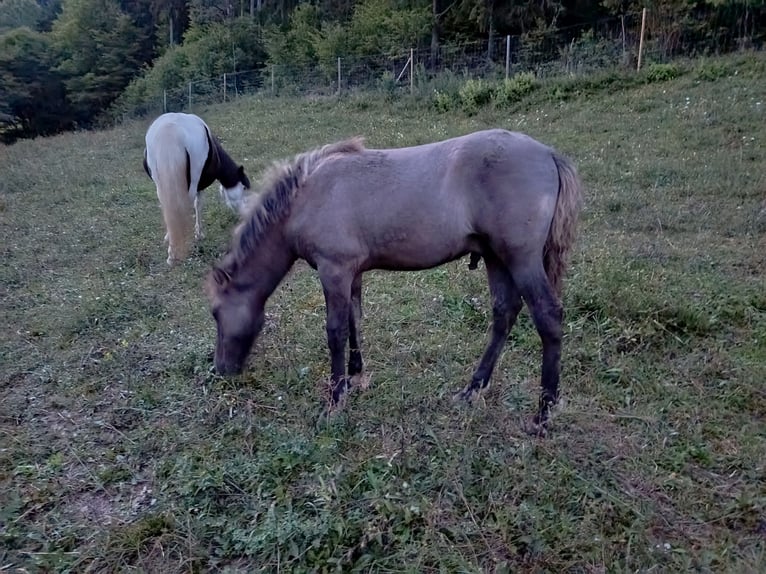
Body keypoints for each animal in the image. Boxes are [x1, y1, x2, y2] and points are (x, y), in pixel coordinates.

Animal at [143, 112, 251, 265]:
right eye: (244, 188)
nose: (247, 213)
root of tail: (169, 131)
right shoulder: (200, 185)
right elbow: (198, 205)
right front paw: (199, 234)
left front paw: (168, 236)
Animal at [204, 129, 583, 427]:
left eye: (215, 313)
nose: (221, 369)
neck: (307, 195)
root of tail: (548, 154)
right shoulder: (352, 272)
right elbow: (354, 320)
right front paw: (355, 375)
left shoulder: (334, 270)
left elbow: (335, 331)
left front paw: (335, 399)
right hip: (495, 258)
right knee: (504, 314)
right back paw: (473, 389)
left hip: (521, 258)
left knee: (548, 316)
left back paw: (544, 411)